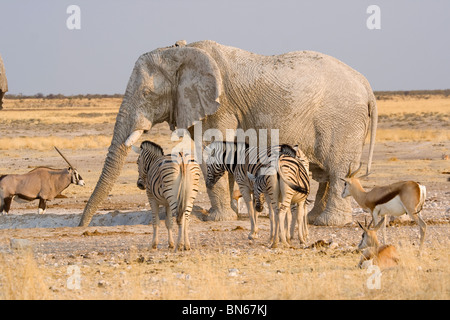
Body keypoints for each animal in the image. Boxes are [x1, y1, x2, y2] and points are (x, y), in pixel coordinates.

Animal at [77, 40, 376, 228]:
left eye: (148, 94)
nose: (81, 225)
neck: (181, 52)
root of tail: (367, 86)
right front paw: (229, 215)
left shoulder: (220, 105)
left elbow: (212, 148)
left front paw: (216, 219)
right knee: (324, 172)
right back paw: (313, 219)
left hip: (343, 122)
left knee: (337, 171)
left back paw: (328, 223)